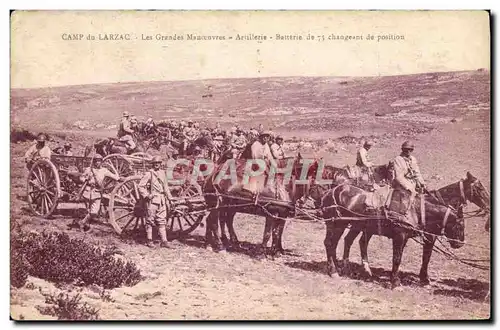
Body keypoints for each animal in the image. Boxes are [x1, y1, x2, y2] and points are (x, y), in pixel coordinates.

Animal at [318, 183, 466, 288]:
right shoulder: (399, 236)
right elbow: (396, 259)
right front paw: (394, 282)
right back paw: (333, 271)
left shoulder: (405, 238)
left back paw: (343, 267)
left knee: (343, 242)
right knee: (330, 243)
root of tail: (330, 192)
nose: (460, 244)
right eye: (460, 225)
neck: (413, 210)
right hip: (337, 224)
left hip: (355, 225)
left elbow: (400, 258)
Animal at [338, 173, 490, 284]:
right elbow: (411, 256)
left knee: (357, 241)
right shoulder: (420, 236)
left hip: (364, 228)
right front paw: (405, 280)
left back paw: (364, 270)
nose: (460, 244)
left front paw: (423, 278)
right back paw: (348, 267)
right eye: (480, 188)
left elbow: (424, 256)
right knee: (351, 241)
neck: (418, 210)